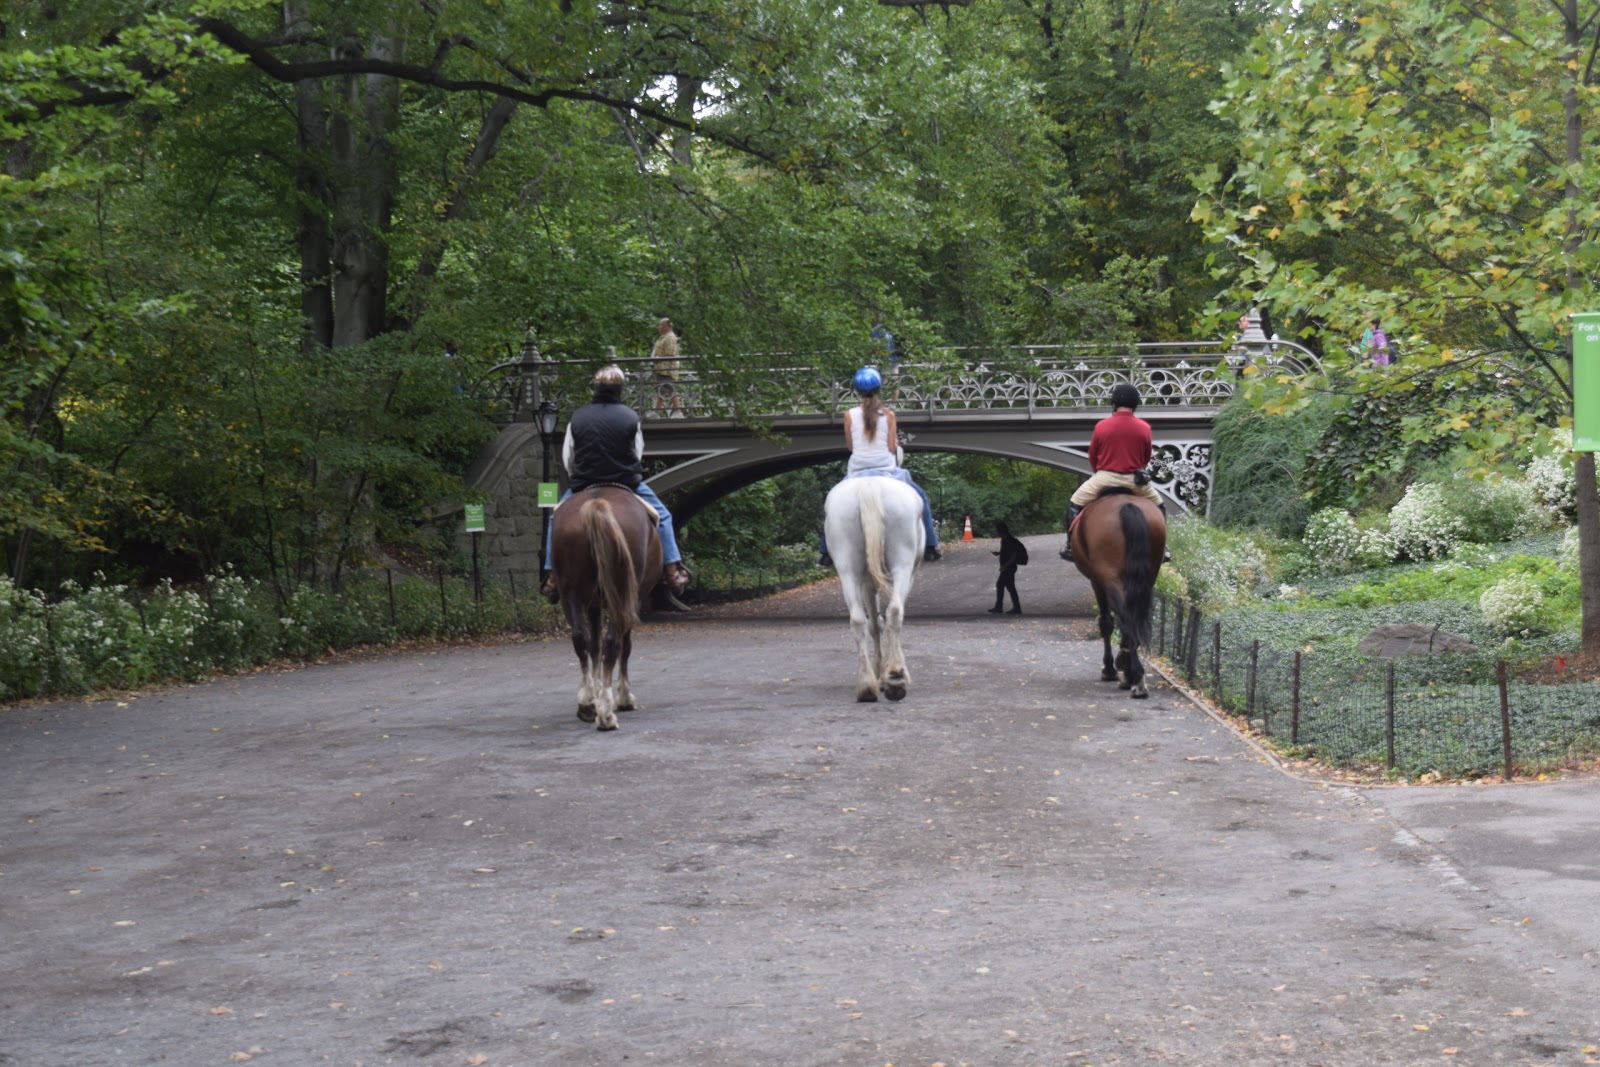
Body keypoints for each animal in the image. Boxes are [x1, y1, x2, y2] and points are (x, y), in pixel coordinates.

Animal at [550, 486, 662, 729]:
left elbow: (594, 645)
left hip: (571, 592)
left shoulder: (593, 603)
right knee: (613, 642)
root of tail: (597, 504)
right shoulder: (631, 600)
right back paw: (607, 714)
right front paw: (624, 698)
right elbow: (624, 646)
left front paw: (594, 695)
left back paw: (586, 705)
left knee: (580, 638)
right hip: (620, 594)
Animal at [825, 476, 928, 700]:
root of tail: (868, 484)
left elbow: (873, 624)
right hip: (902, 564)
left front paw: (879, 673)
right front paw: (886, 673)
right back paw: (895, 676)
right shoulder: (906, 575)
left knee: (857, 619)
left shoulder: (866, 582)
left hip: (848, 568)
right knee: (895, 611)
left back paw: (866, 685)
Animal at [1075, 492, 1164, 700]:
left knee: (1125, 616)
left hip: (1109, 577)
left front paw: (1110, 669)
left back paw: (1135, 678)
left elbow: (1106, 623)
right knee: (1134, 615)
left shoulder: (1096, 581)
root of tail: (1127, 505)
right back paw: (1133, 672)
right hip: (1148, 576)